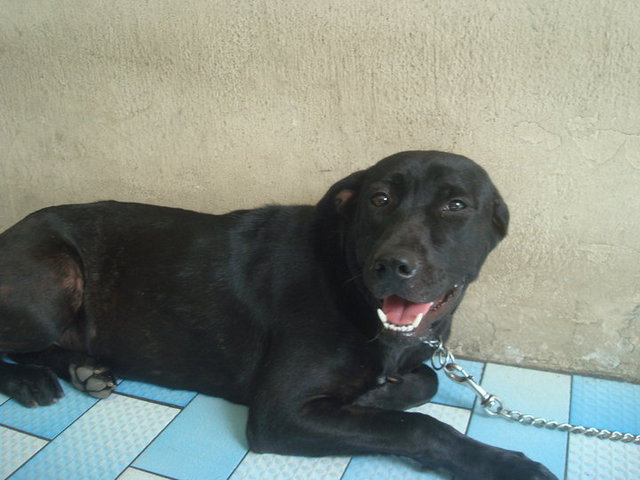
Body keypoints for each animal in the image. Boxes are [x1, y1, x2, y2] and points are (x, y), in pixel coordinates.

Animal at [1, 151, 556, 480]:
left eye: (456, 205)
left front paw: (378, 393)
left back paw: (82, 368)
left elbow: (427, 382)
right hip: (55, 284)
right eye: (379, 198)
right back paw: (29, 381)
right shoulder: (280, 414)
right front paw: (506, 464)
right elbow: (419, 427)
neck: (348, 283)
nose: (393, 266)